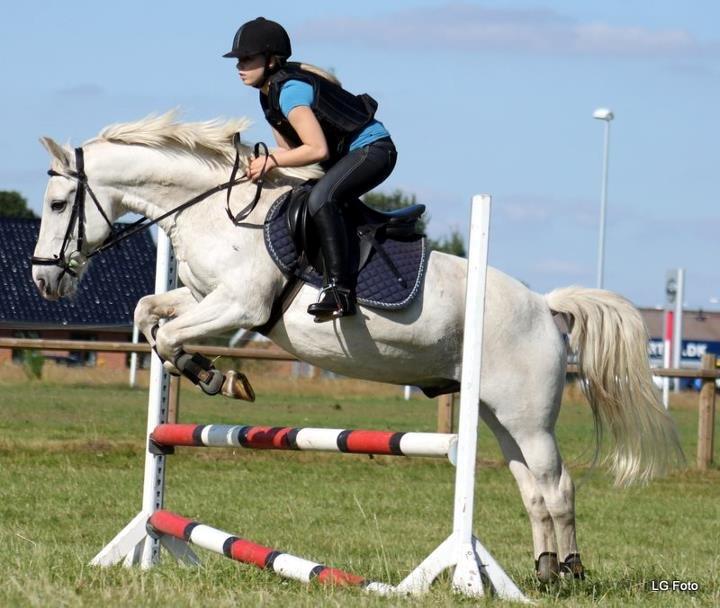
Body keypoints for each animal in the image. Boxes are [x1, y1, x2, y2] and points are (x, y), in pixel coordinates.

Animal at [32, 111, 680, 580]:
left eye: (59, 205)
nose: (44, 281)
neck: (218, 212)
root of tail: (546, 307)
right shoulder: (204, 298)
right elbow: (150, 315)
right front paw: (213, 373)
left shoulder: (239, 306)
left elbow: (167, 335)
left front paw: (217, 376)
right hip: (498, 415)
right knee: (533, 488)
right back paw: (544, 568)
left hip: (528, 415)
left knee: (557, 485)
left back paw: (568, 571)